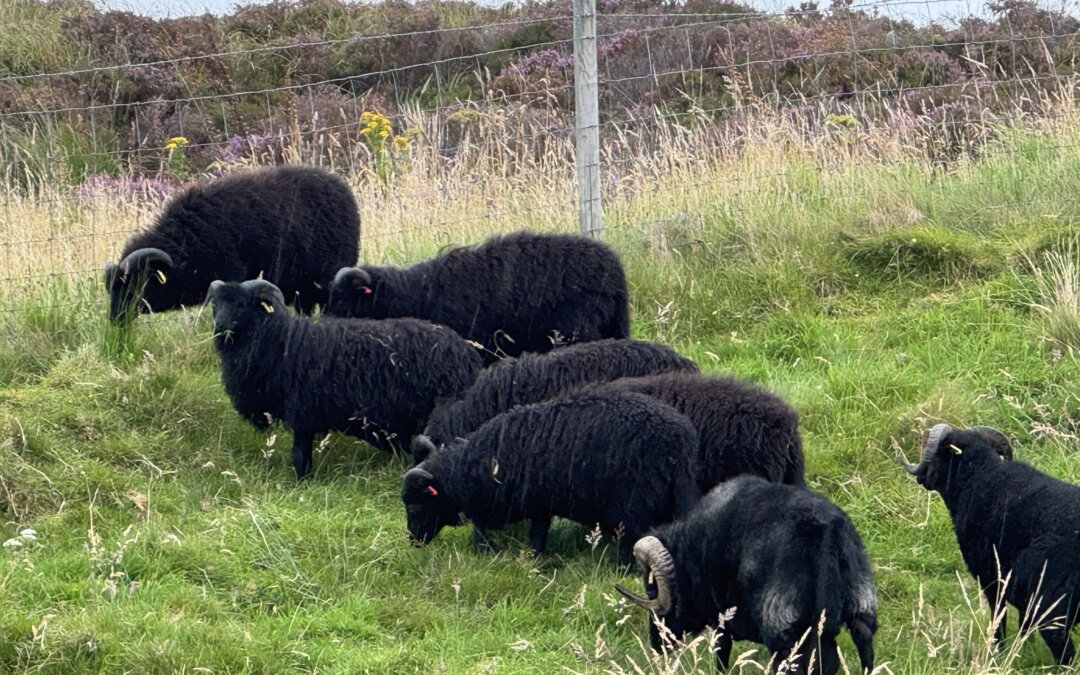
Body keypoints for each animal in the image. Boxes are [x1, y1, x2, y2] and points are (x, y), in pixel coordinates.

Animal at [106, 165, 360, 323]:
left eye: (134, 284)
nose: (116, 320)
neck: (187, 242)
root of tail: (343, 189)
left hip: (326, 283)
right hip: (304, 290)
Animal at [208, 279, 482, 479]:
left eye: (241, 304)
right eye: (215, 305)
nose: (219, 326)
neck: (282, 341)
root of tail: (467, 354)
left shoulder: (303, 413)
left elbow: (299, 455)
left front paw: (301, 482)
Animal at [403, 389, 701, 564]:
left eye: (416, 503)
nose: (413, 541)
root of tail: (681, 441)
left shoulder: (527, 503)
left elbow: (521, 535)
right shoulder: (539, 505)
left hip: (632, 505)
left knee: (629, 542)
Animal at [616, 476, 877, 675]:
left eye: (651, 588)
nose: (656, 644)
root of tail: (826, 533)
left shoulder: (719, 617)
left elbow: (721, 653)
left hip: (782, 629)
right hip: (861, 607)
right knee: (861, 650)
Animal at [903, 423, 1080, 665]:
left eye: (936, 454)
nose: (921, 477)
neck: (980, 476)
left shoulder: (991, 578)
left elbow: (999, 620)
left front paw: (998, 653)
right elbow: (1023, 628)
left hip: (1053, 608)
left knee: (1065, 654)